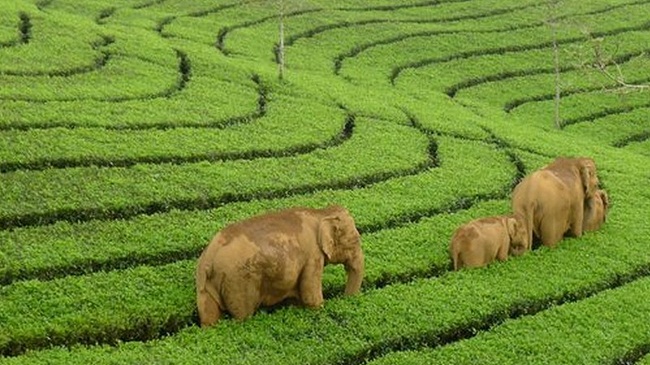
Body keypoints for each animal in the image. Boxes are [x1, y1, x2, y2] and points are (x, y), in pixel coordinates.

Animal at [192, 203, 364, 326]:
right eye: (356, 240)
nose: (346, 300)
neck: (321, 212)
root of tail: (209, 259)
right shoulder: (313, 256)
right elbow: (310, 295)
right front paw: (319, 309)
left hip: (204, 284)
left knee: (208, 316)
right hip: (239, 281)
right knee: (243, 315)